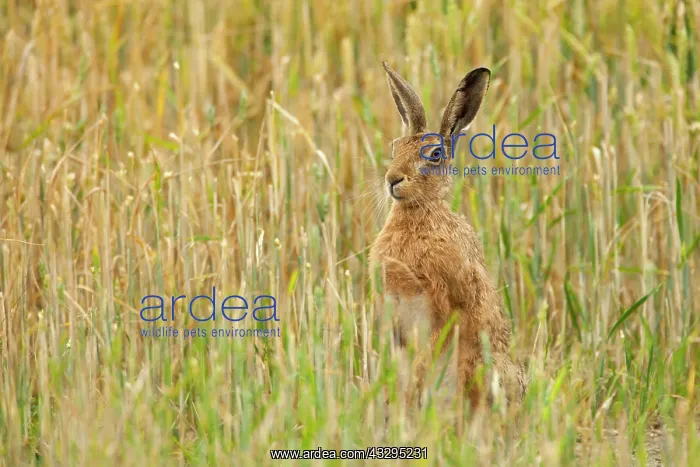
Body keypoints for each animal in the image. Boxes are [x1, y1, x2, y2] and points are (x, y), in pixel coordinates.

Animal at [370, 62, 527, 410]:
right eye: (394, 148)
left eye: (435, 155)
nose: (392, 179)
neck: (420, 213)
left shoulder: (442, 305)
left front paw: (413, 389)